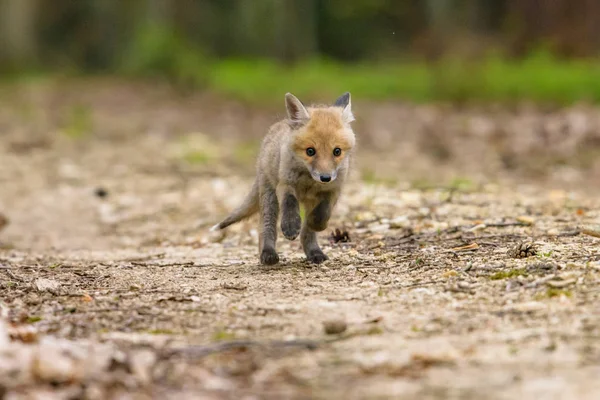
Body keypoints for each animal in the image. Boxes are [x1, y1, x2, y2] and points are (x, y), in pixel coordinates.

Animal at [211, 92, 354, 264]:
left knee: (307, 234)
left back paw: (314, 252)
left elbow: (322, 212)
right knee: (266, 229)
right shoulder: (285, 184)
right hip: (269, 197)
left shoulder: (333, 189)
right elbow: (289, 203)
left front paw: (316, 224)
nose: (325, 177)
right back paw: (268, 253)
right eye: (310, 151)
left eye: (337, 151)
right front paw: (290, 226)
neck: (309, 182)